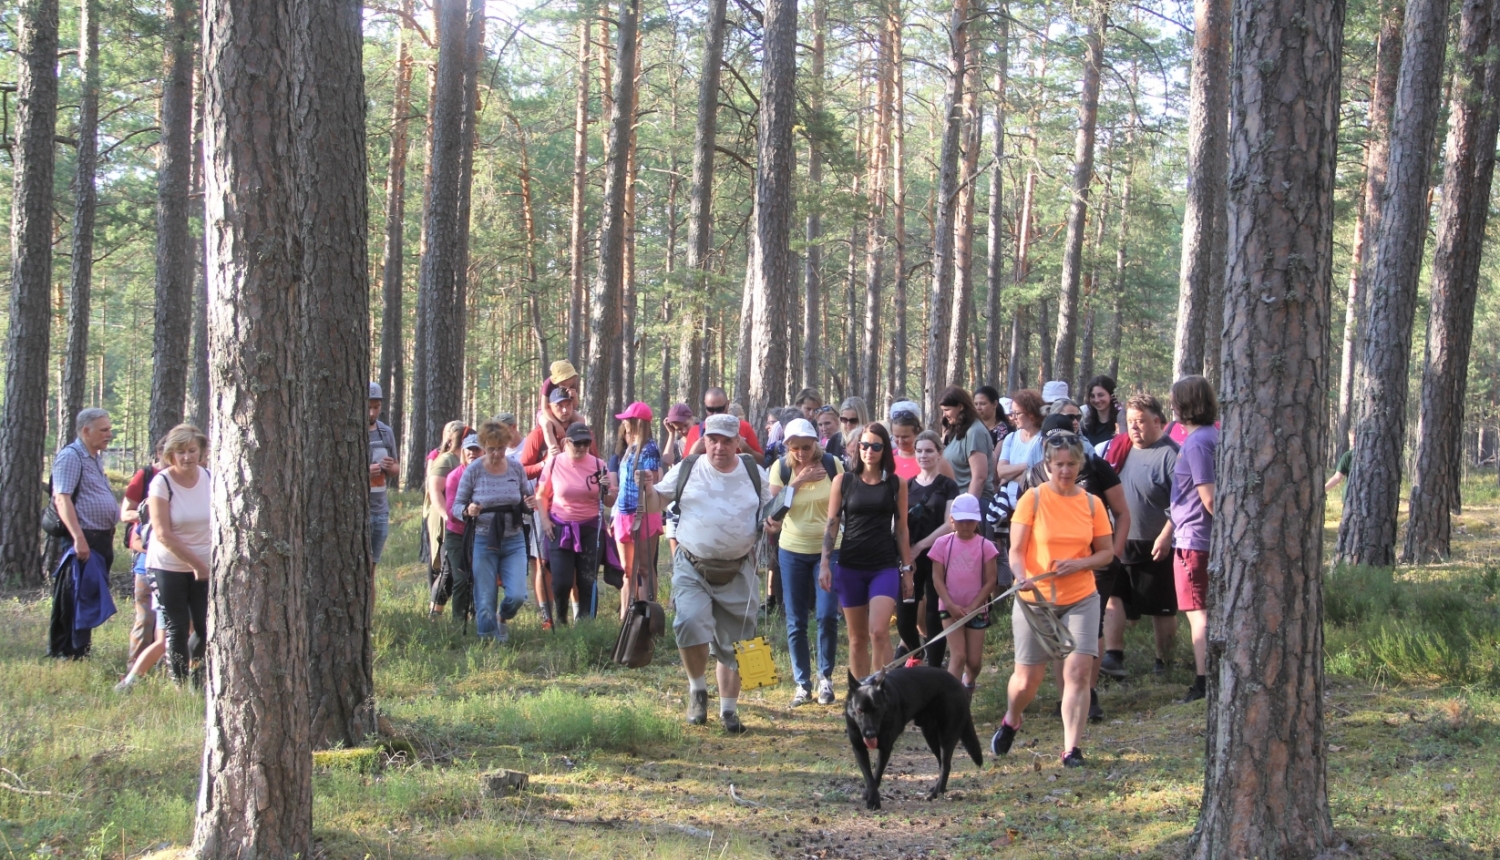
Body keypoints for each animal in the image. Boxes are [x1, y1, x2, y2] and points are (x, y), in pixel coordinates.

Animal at [846, 663, 984, 810]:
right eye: (859, 710)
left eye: (876, 710)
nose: (870, 734)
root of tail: (959, 684)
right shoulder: (859, 748)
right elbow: (869, 776)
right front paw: (870, 795)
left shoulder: (885, 749)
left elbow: (877, 774)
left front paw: (873, 801)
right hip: (930, 736)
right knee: (942, 764)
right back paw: (939, 789)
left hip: (947, 737)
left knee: (946, 766)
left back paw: (936, 793)